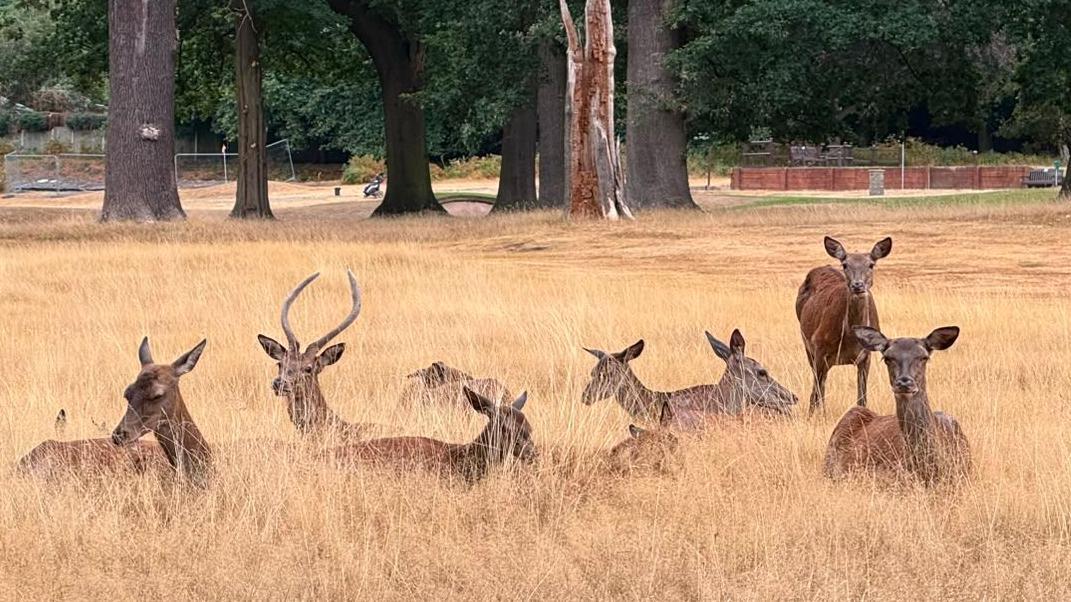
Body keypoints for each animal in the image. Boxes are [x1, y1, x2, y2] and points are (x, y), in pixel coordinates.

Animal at [796, 236, 892, 414]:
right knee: (819, 387)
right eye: (845, 264)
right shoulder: (818, 345)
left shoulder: (866, 356)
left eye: (871, 264)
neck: (850, 338)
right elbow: (815, 392)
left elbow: (862, 397)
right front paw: (813, 416)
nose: (857, 285)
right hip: (807, 344)